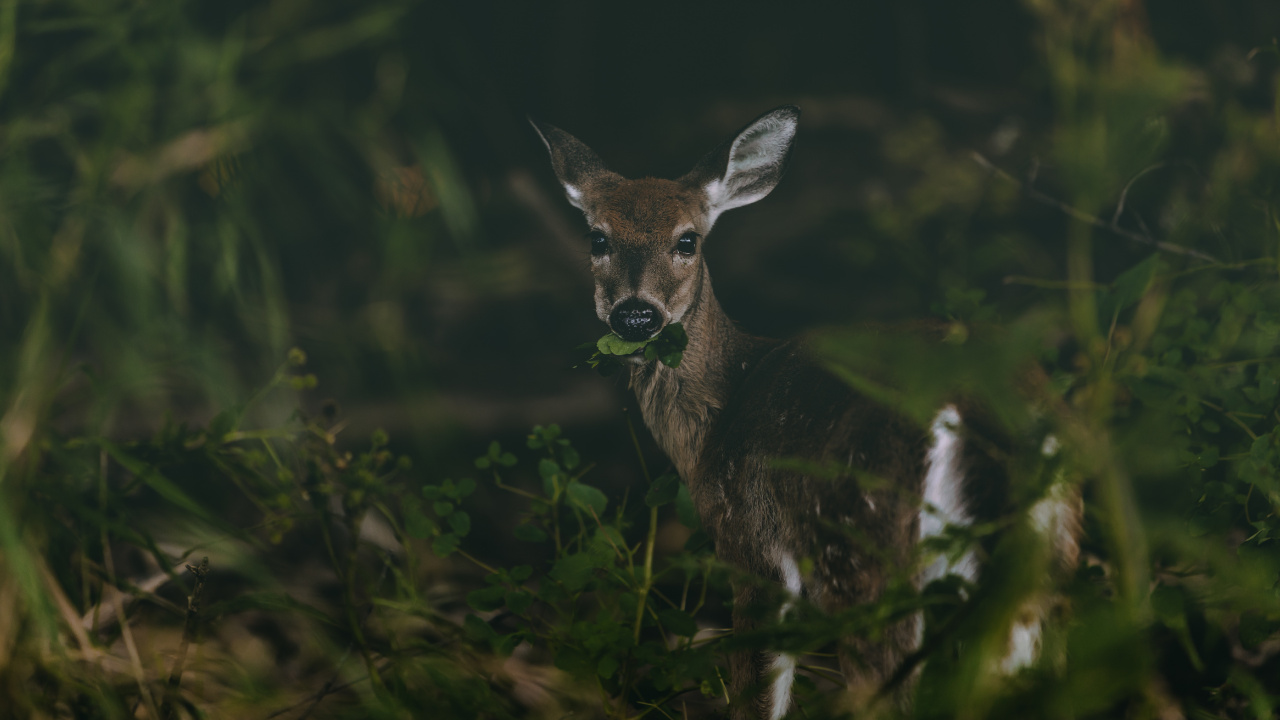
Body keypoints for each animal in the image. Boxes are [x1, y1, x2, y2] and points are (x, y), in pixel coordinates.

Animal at [531, 106, 1081, 719]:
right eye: (597, 237)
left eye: (687, 240)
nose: (634, 316)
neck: (720, 416)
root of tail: (978, 404)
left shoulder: (751, 544)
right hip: (1054, 551)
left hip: (864, 546)